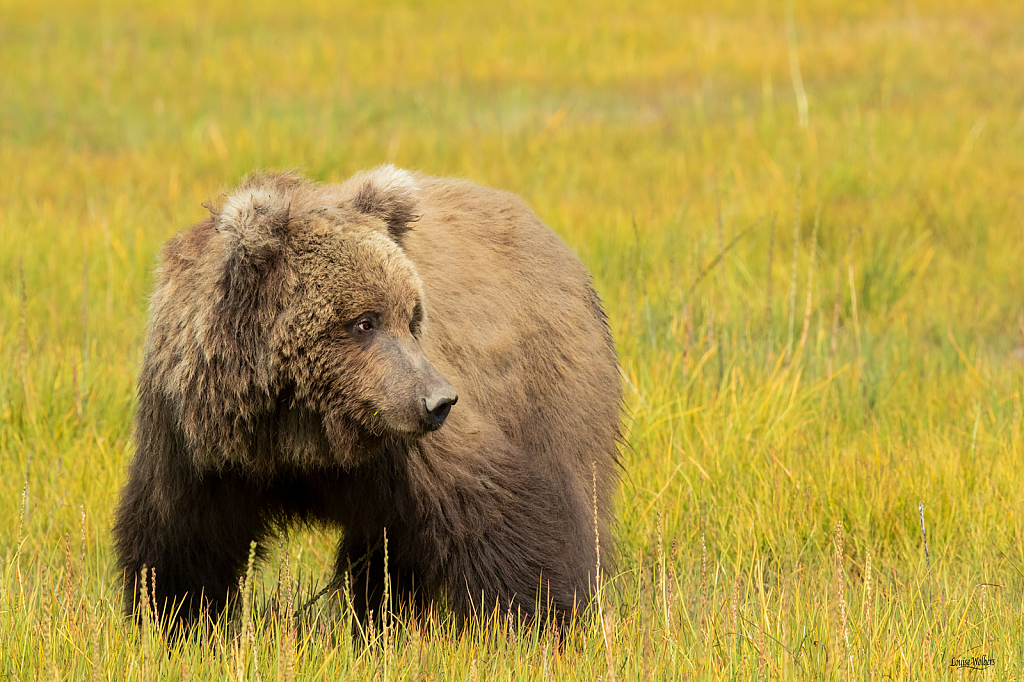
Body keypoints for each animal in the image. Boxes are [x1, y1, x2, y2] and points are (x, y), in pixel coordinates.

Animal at [113, 163, 622, 626]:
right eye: (364, 322)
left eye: (412, 316)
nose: (439, 401)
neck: (300, 429)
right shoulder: (198, 444)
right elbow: (180, 541)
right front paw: (177, 618)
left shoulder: (404, 443)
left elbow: (497, 510)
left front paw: (537, 619)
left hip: (550, 385)